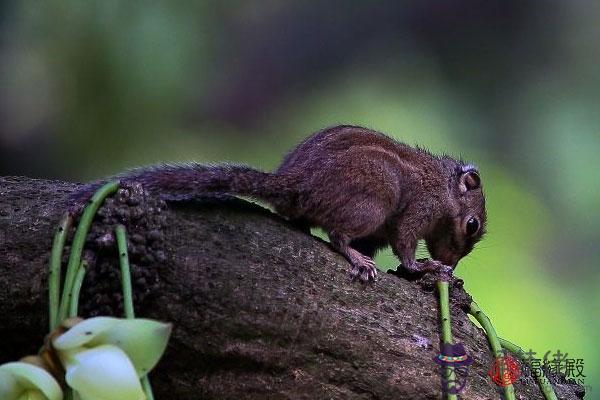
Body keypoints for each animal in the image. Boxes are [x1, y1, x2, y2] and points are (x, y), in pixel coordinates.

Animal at [75, 125, 488, 282]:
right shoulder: (416, 211)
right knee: (338, 235)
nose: (453, 264)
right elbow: (404, 245)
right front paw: (424, 265)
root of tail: (295, 184)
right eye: (472, 226)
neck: (443, 189)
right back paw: (356, 258)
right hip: (372, 201)